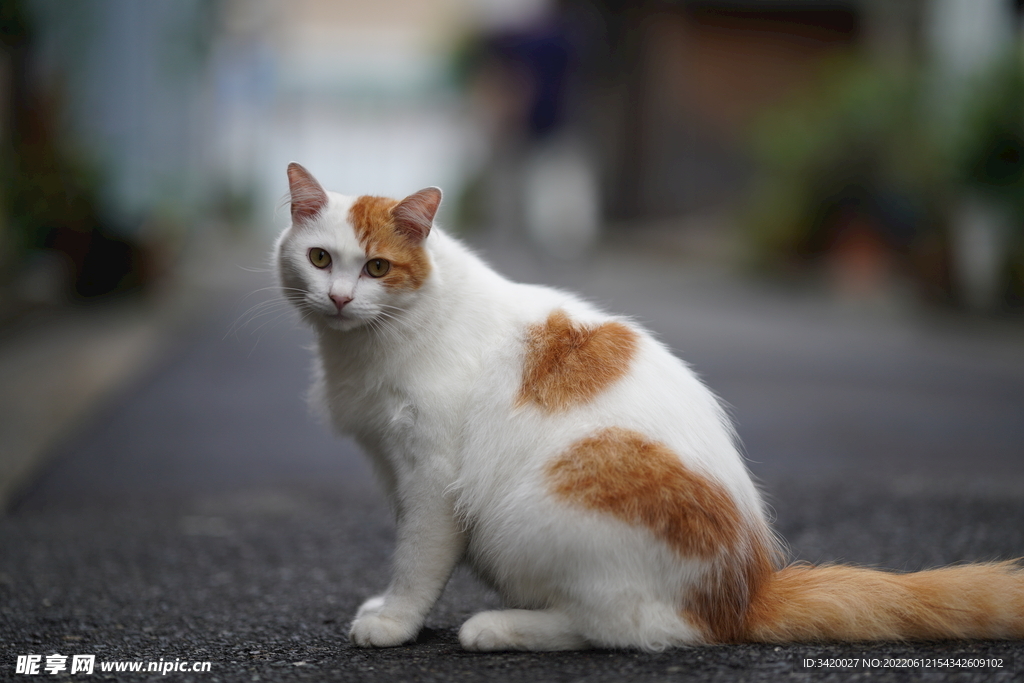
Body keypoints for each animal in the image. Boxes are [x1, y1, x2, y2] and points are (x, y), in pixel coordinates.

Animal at [274, 162, 1024, 655]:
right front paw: (391, 606)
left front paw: (394, 621)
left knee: (628, 628)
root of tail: (744, 589)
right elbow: (410, 549)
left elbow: (419, 557)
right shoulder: (392, 466)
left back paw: (499, 628)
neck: (374, 343)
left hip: (532, 516)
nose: (338, 298)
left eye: (377, 267)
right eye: (320, 259)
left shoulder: (432, 478)